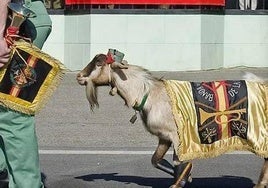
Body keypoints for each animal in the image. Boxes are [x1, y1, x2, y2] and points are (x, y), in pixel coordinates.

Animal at [75, 53, 268, 188]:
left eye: (99, 63)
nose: (79, 76)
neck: (149, 94)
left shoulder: (177, 136)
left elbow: (178, 164)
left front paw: (183, 179)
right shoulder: (164, 137)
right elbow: (156, 160)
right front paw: (188, 177)